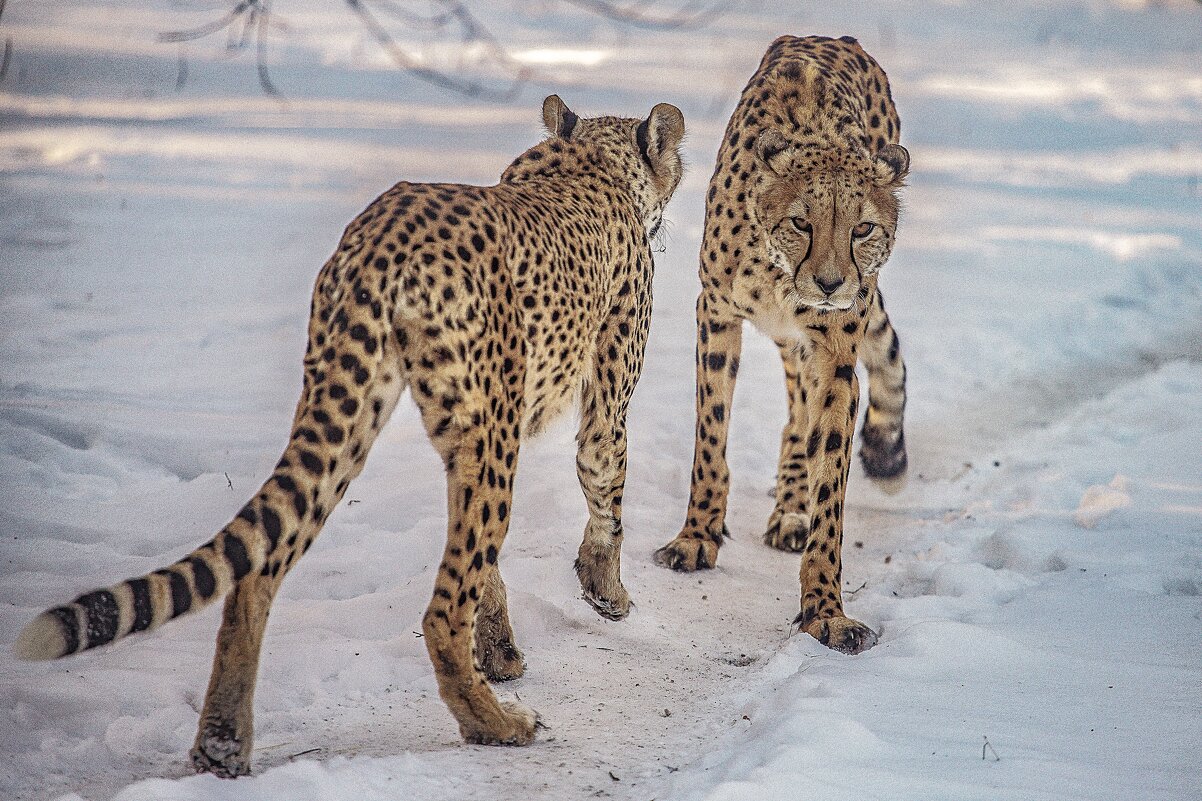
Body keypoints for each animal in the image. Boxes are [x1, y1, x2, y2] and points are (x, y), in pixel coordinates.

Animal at [14, 93, 687, 774]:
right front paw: (607, 594)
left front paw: (501, 649)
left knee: (258, 570)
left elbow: (494, 564)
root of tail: (386, 227)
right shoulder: (593, 399)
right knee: (441, 609)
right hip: (466, 431)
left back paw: (222, 744)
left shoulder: (491, 430)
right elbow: (604, 484)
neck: (584, 159)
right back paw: (494, 724)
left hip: (355, 409)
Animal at [653, 34, 903, 654]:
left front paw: (824, 609)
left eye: (862, 229)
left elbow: (829, 476)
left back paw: (796, 509)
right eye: (801, 222)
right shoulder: (716, 314)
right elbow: (711, 436)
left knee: (802, 416)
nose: (832, 284)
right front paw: (696, 536)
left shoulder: (834, 356)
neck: (780, 273)